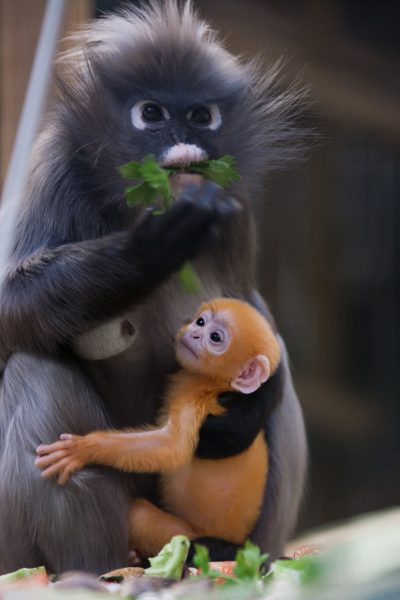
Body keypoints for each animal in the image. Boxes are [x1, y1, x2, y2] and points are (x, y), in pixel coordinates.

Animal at [36, 300, 280, 556]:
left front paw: (82, 449)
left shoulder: (196, 400)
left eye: (215, 337)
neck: (215, 383)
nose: (194, 333)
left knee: (140, 516)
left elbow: (172, 448)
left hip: (187, 535)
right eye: (201, 322)